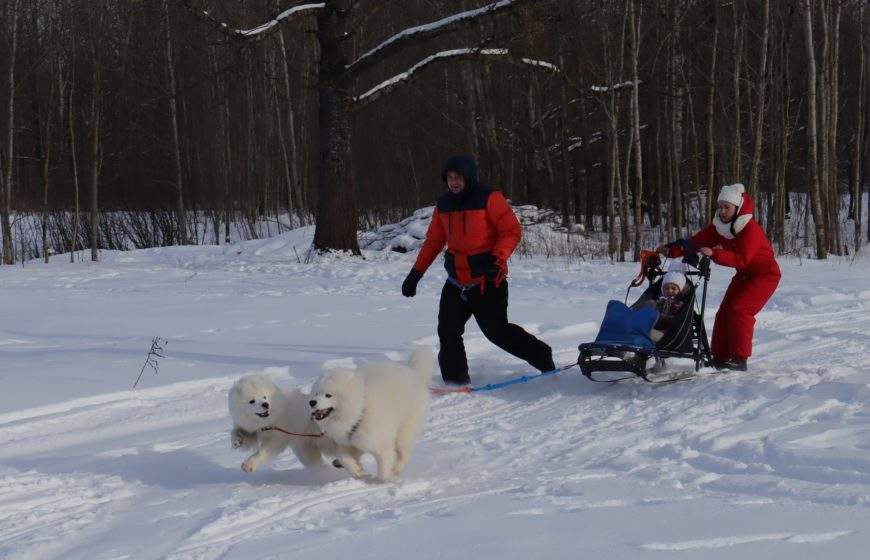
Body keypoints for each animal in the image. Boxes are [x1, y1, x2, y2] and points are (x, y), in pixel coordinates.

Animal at [308, 346, 434, 482]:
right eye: (316, 393)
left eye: (328, 395)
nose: (312, 402)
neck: (359, 410)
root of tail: (414, 373)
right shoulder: (346, 440)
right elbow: (344, 457)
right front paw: (357, 471)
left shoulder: (381, 442)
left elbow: (384, 465)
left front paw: (385, 479)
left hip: (405, 430)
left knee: (404, 453)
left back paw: (396, 470)